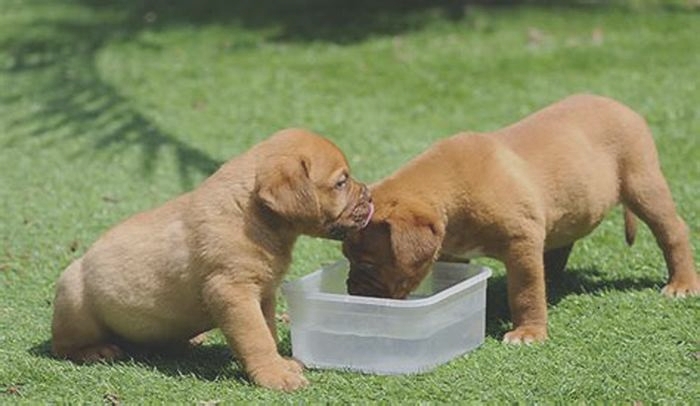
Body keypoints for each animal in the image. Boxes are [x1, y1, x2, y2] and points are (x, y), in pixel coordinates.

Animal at [51, 129, 374, 390]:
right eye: (341, 182)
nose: (370, 196)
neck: (253, 215)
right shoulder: (232, 291)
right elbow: (257, 338)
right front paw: (274, 374)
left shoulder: (263, 295)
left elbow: (267, 331)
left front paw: (279, 363)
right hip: (75, 304)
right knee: (62, 346)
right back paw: (95, 351)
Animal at [344, 93, 700, 344]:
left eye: (369, 264)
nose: (350, 289)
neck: (452, 190)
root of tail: (622, 106)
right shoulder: (453, 251)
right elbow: (453, 280)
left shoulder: (521, 243)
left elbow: (525, 291)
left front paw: (529, 332)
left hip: (643, 183)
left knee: (672, 231)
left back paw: (682, 283)